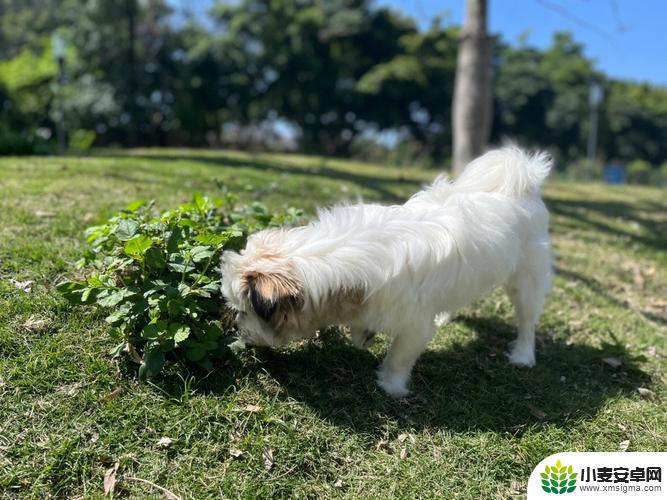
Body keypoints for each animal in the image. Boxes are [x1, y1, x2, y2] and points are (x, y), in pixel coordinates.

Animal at [222, 146, 552, 396]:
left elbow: (399, 357)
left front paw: (390, 386)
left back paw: (523, 356)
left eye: (247, 312)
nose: (240, 332)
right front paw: (363, 335)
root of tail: (522, 179)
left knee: (526, 320)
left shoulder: (415, 326)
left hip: (527, 279)